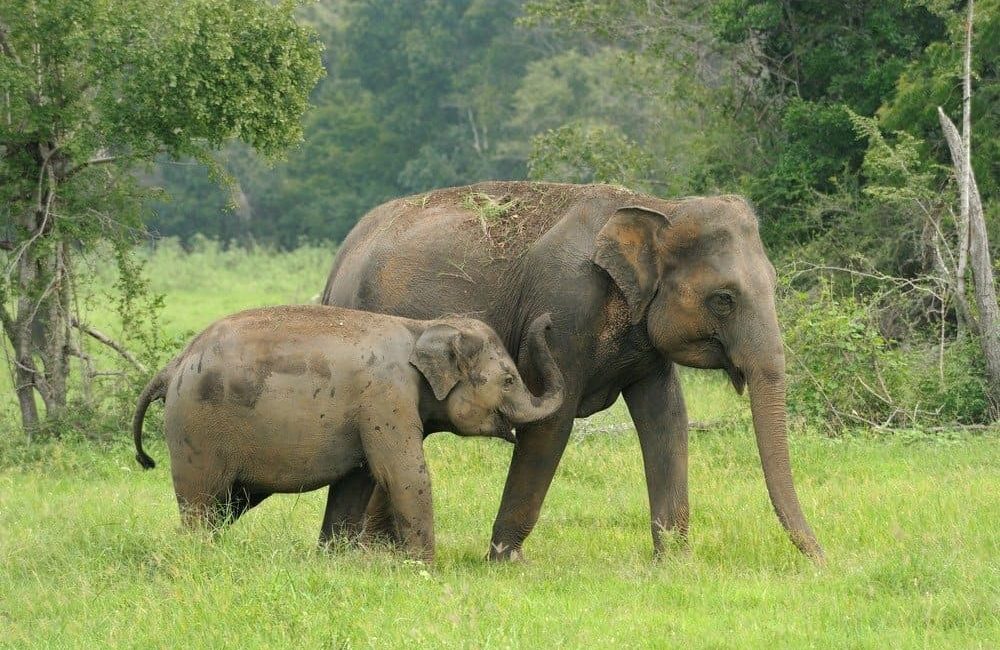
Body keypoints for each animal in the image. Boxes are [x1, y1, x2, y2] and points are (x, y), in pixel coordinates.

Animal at [130, 304, 564, 562]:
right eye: (509, 380)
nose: (548, 319)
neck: (422, 328)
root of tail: (173, 365)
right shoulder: (386, 397)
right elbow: (403, 474)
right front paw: (424, 568)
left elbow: (358, 480)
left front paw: (332, 560)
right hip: (197, 429)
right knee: (203, 500)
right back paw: (196, 555)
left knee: (225, 504)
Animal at [321, 181, 824, 563]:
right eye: (724, 299)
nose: (821, 562)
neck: (661, 206)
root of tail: (338, 260)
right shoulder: (566, 307)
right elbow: (551, 424)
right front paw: (507, 562)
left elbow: (667, 417)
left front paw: (675, 563)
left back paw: (379, 553)